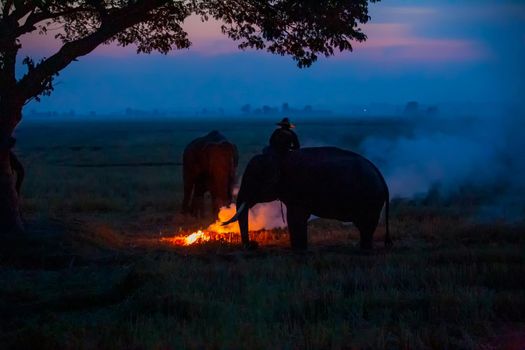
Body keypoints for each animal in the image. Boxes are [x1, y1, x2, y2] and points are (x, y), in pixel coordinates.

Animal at [221, 146, 388, 250]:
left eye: (252, 180)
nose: (253, 245)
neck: (279, 157)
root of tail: (381, 177)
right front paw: (301, 248)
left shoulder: (297, 187)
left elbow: (295, 217)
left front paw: (298, 250)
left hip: (370, 200)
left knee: (366, 225)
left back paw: (364, 250)